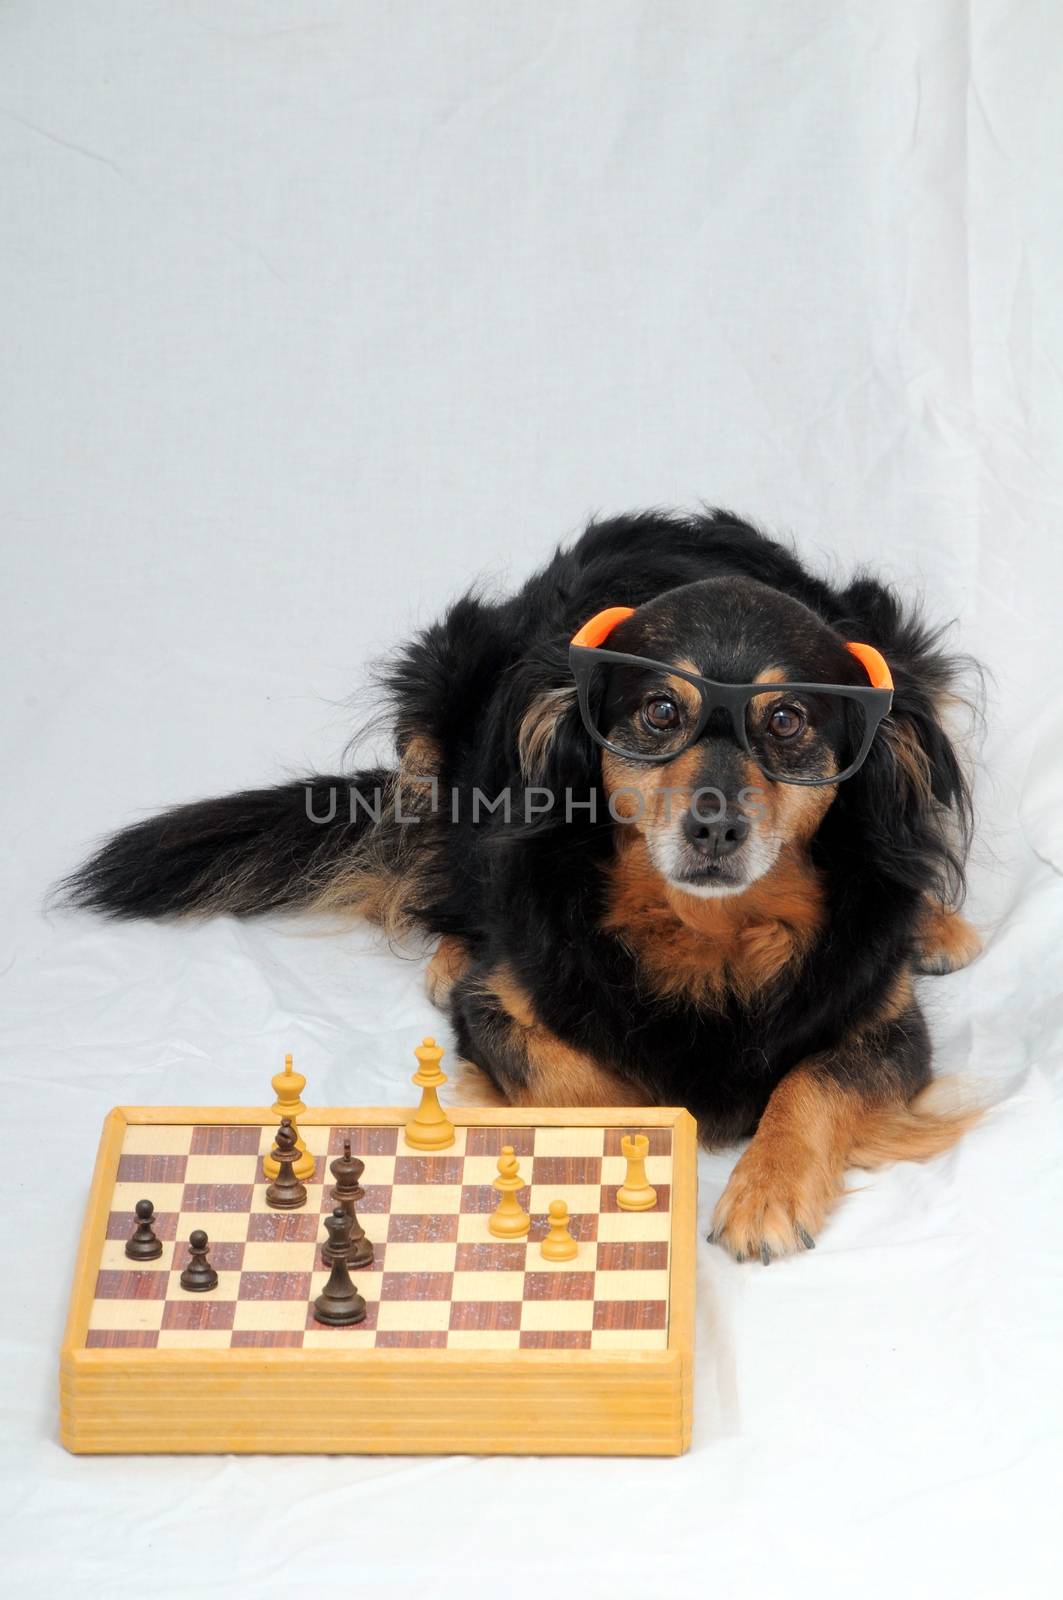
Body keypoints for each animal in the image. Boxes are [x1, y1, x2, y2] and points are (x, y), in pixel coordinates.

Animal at [64, 512, 979, 1260]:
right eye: (658, 712)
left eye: (786, 720)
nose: (714, 829)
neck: (706, 932)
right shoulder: (500, 1008)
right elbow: (571, 1080)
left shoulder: (884, 1022)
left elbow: (812, 1084)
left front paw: (766, 1191)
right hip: (435, 695)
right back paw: (446, 948)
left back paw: (937, 926)